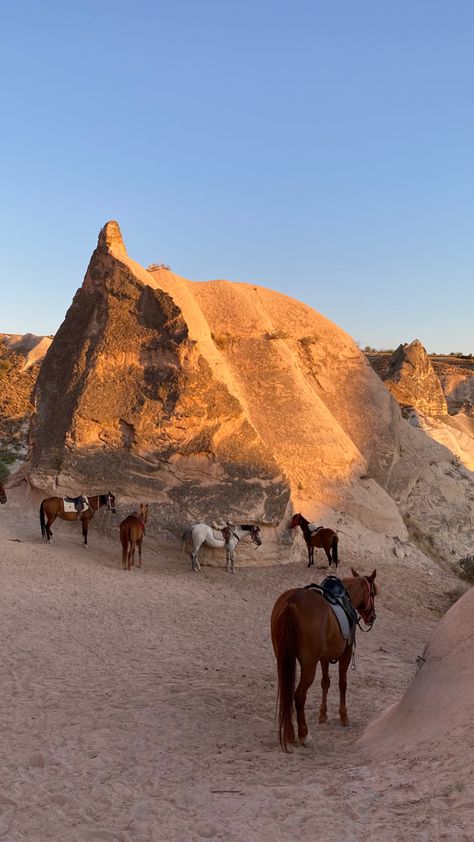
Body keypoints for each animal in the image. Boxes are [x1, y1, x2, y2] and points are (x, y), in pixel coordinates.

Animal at [270, 568, 378, 752]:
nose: (372, 617)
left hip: (283, 659)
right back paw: (304, 736)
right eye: (374, 594)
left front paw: (323, 714)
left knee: (287, 692)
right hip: (308, 665)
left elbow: (325, 682)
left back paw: (290, 734)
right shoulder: (346, 654)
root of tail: (291, 603)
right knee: (299, 695)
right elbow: (342, 683)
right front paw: (343, 716)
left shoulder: (324, 658)